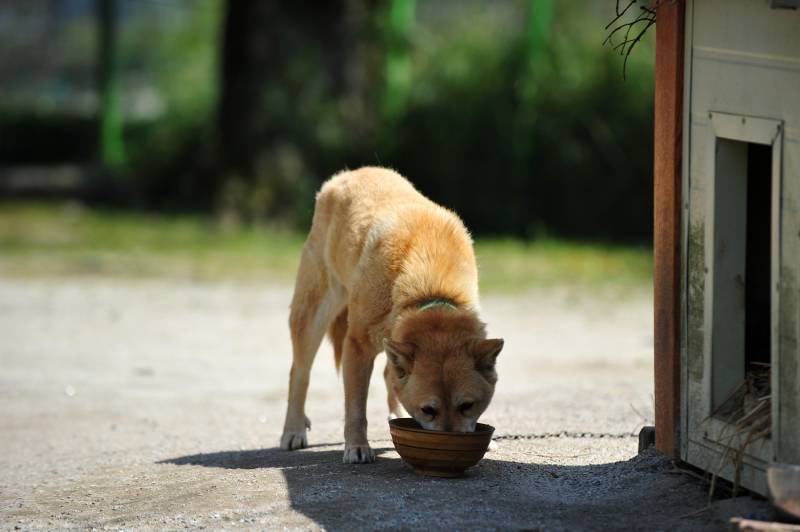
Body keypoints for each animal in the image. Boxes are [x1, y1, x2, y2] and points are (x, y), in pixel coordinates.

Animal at [282, 166, 504, 462]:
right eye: (428, 410)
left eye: (467, 406)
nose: (450, 445)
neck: (430, 288)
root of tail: (349, 174)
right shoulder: (357, 346)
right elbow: (356, 408)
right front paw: (357, 447)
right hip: (313, 314)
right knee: (299, 373)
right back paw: (293, 430)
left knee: (390, 374)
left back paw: (394, 415)